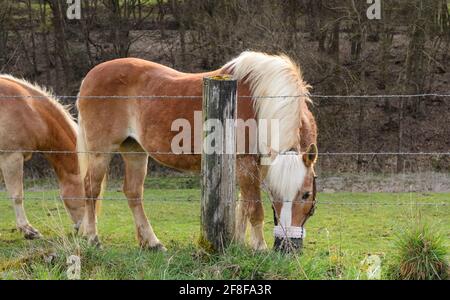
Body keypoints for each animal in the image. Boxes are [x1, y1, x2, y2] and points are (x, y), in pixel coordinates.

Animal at [76, 50, 316, 252]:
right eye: (274, 194)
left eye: (306, 194)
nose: (287, 247)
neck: (260, 102)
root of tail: (89, 77)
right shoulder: (245, 162)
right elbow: (254, 208)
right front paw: (259, 248)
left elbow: (243, 207)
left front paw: (238, 244)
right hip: (101, 152)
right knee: (91, 188)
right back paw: (93, 238)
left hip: (135, 151)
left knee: (133, 193)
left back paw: (152, 243)